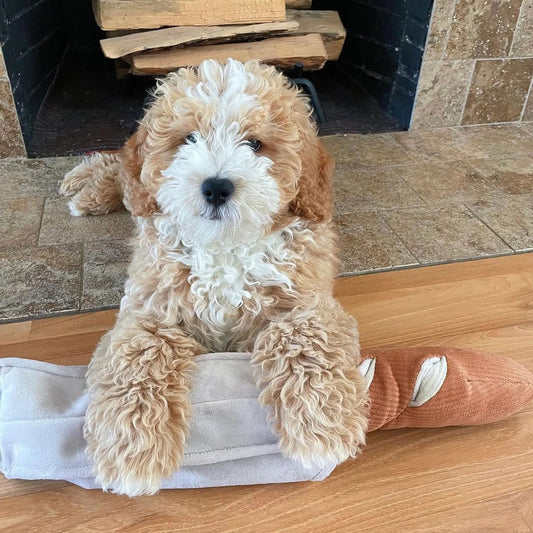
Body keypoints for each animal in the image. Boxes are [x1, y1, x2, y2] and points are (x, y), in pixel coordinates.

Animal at [60, 60, 368, 496]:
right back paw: (85, 188)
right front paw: (133, 451)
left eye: (254, 144)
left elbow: (305, 339)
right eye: (188, 138)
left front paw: (322, 425)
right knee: (120, 167)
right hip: (134, 187)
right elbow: (138, 356)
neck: (224, 247)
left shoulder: (307, 300)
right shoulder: (147, 309)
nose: (217, 187)